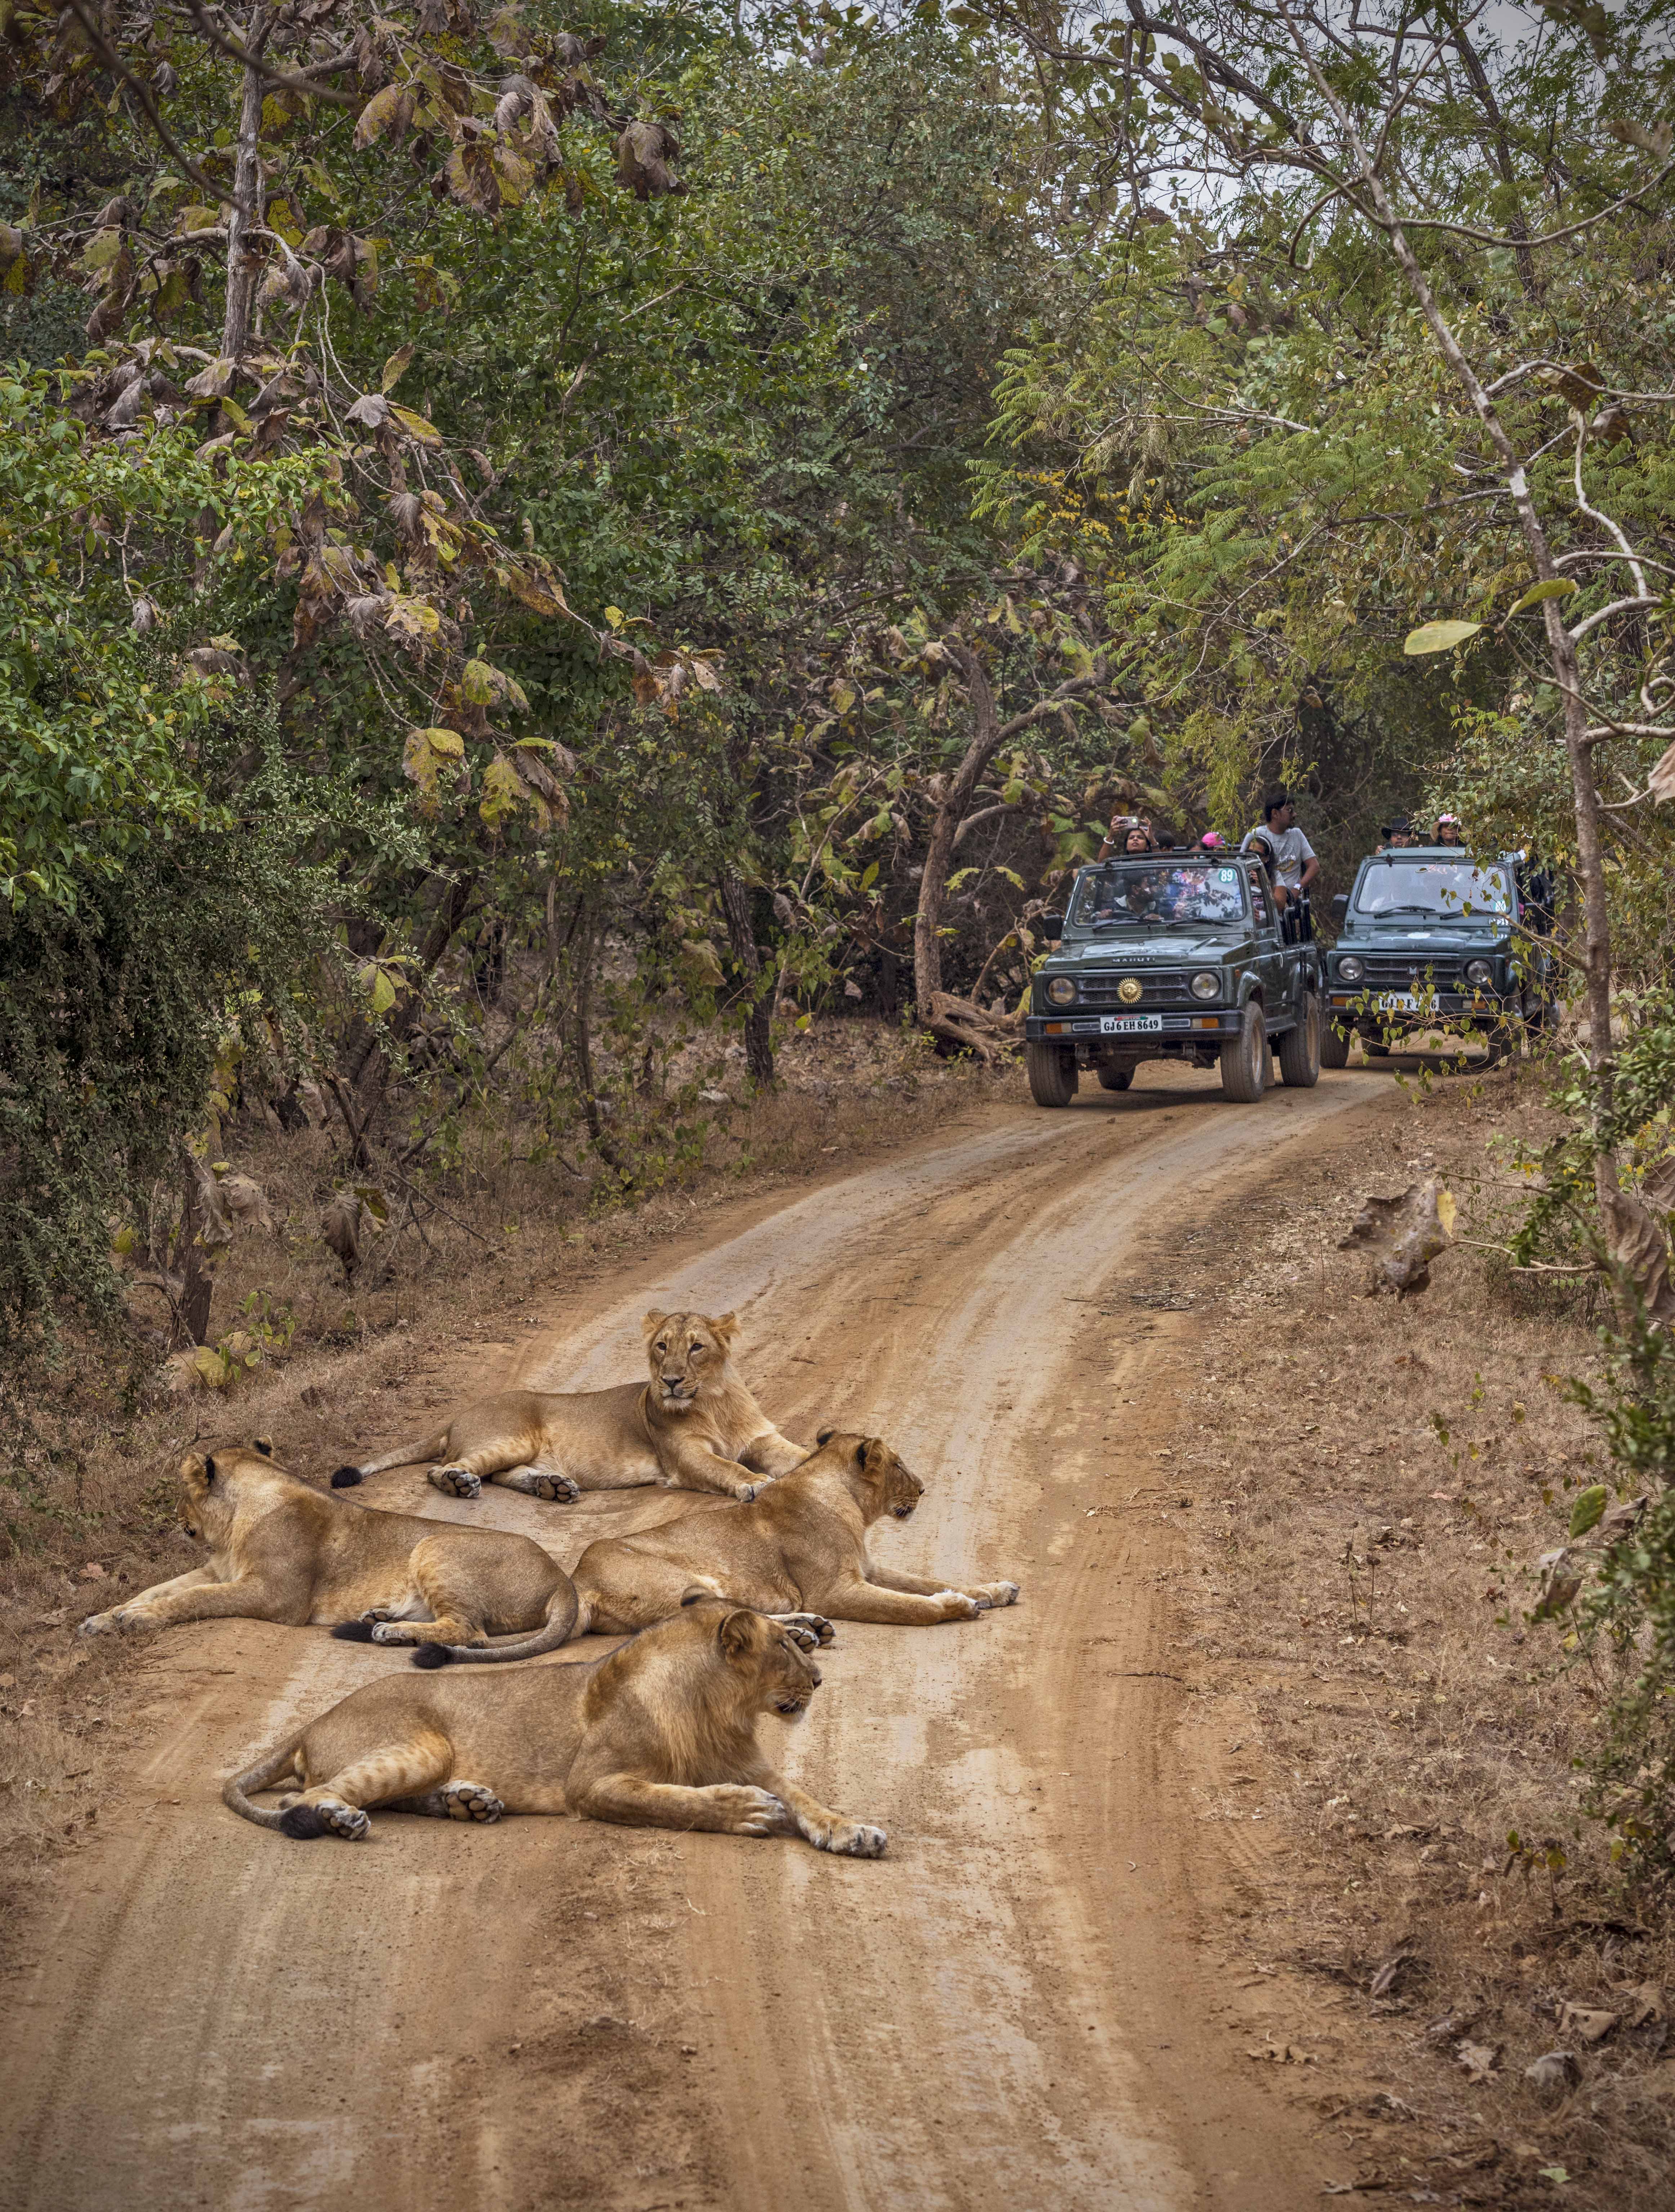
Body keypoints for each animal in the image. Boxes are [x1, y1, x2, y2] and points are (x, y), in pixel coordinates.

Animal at [85, 1433, 580, 1663]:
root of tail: (562, 1579)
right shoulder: (218, 1570)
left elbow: (192, 1599)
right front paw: (104, 1618)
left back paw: (390, 1632)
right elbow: (156, 1589)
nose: (175, 1517)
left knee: (470, 1630)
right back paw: (380, 1618)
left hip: (434, 1543)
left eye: (181, 1492)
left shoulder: (274, 1596)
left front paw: (136, 1620)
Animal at [222, 1601, 889, 1858]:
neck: (714, 1710)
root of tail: (316, 1716)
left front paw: (853, 1831)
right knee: (303, 1797)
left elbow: (806, 1798)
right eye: (786, 1645)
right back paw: (343, 1819)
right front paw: (745, 1812)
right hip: (420, 1744)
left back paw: (469, 1803)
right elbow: (673, 1800)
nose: (820, 1680)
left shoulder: (757, 1766)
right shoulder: (590, 1784)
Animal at [330, 1301, 805, 1513]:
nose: (669, 1381)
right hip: (511, 1437)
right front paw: (755, 1483)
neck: (713, 1402)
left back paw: (553, 1487)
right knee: (444, 1469)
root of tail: (455, 1416)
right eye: (662, 1346)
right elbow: (728, 1467)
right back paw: (461, 1484)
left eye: (696, 1348)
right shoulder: (684, 1456)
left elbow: (797, 1455)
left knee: (499, 1473)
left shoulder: (762, 1438)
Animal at [414, 1424, 1026, 1663]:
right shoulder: (838, 1589)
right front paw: (957, 1607)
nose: (923, 1489)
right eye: (898, 1466)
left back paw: (809, 1632)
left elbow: (927, 1579)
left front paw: (995, 1589)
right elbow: (912, 1606)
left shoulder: (868, 1571)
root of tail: (576, 1583)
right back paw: (807, 1632)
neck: (846, 1502)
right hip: (683, 1577)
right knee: (707, 1616)